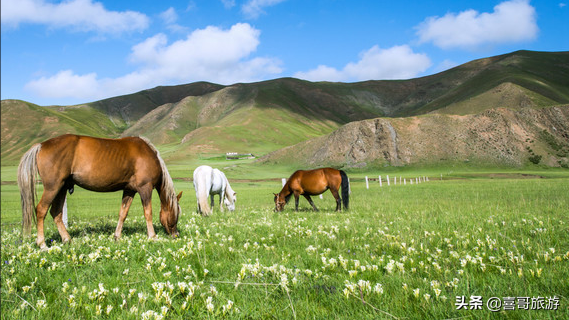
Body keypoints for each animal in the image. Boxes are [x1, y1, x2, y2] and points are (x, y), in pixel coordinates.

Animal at [17, 134, 182, 249]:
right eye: (177, 213)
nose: (176, 235)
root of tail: (41, 145)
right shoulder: (145, 188)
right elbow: (148, 212)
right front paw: (152, 236)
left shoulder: (129, 190)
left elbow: (123, 214)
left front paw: (117, 236)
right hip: (53, 187)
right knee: (41, 210)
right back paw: (42, 244)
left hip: (61, 188)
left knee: (56, 212)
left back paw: (67, 239)